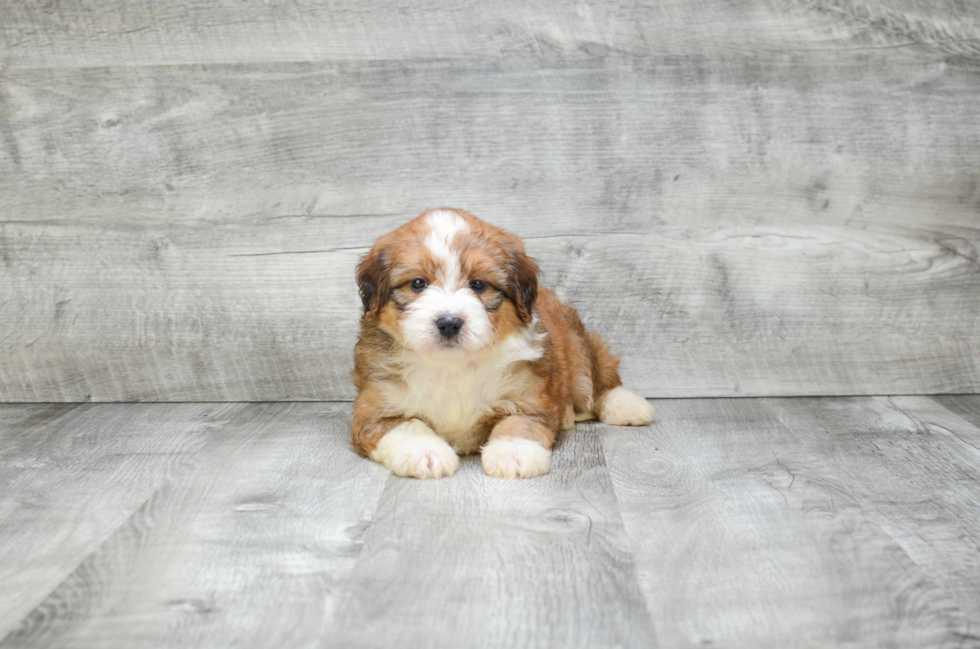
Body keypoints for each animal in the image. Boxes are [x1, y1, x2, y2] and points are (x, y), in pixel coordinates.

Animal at [348, 210, 656, 478]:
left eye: (478, 285)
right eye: (418, 283)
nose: (449, 323)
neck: (452, 365)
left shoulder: (530, 397)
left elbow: (518, 423)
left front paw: (514, 452)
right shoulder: (373, 410)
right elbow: (407, 426)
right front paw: (426, 453)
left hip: (578, 343)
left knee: (599, 377)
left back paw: (627, 404)